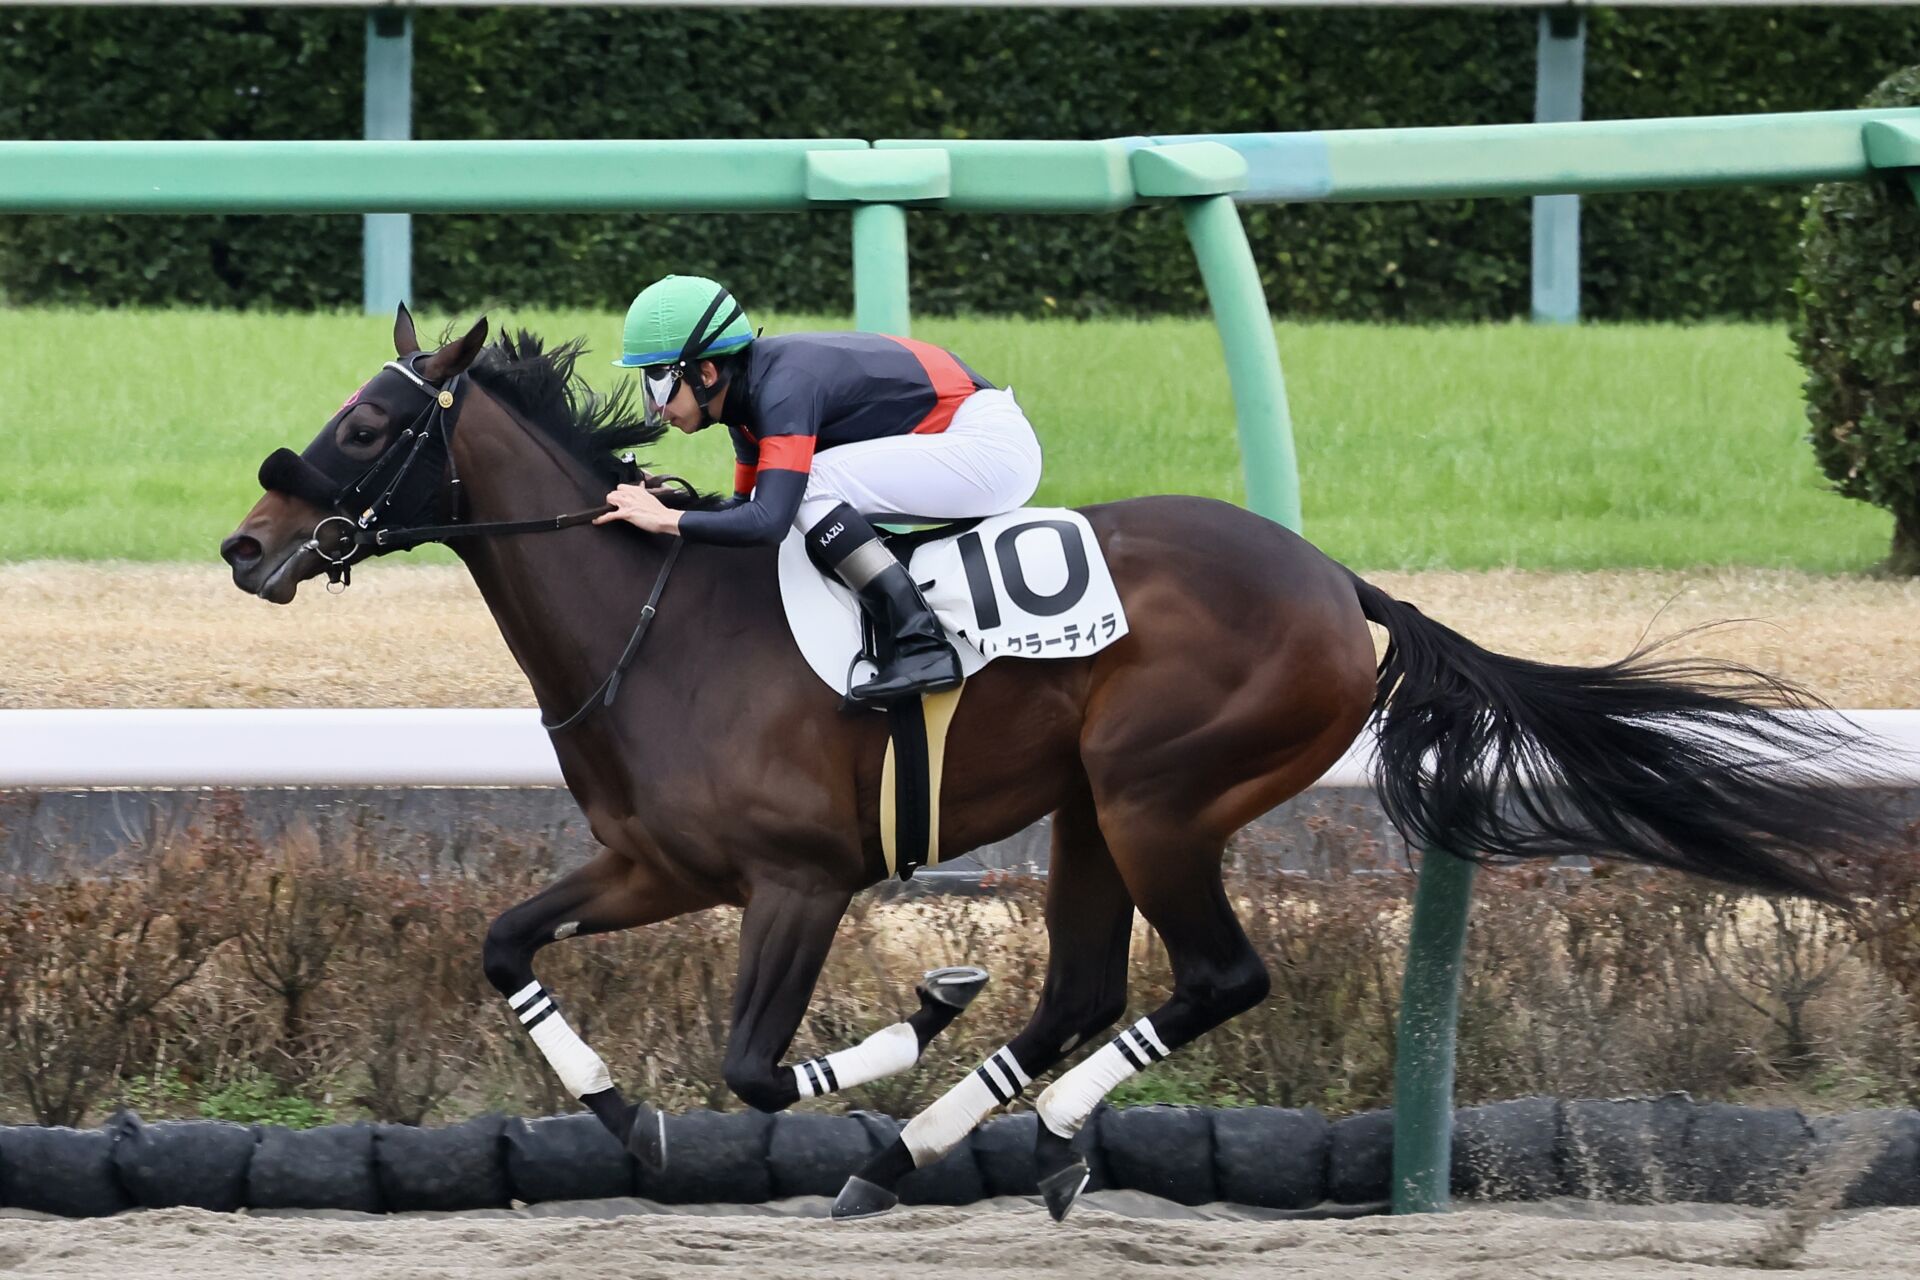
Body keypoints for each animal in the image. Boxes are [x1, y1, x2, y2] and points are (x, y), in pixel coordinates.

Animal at [221, 309, 1892, 1221]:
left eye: (365, 424)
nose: (247, 548)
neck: (665, 621)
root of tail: (1337, 584)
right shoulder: (654, 864)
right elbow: (505, 943)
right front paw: (624, 1117)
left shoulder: (798, 879)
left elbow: (757, 1065)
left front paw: (915, 1011)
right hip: (1096, 807)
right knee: (1089, 984)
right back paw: (942, 1150)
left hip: (1163, 795)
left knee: (1215, 977)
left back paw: (1030, 1127)